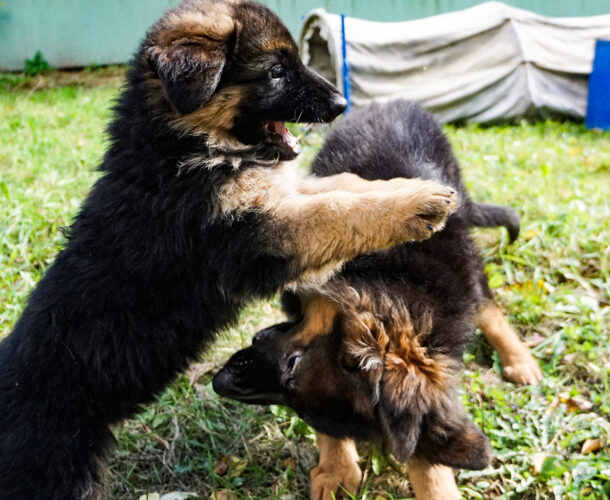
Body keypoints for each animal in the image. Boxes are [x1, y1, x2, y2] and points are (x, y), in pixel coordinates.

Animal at [0, 1, 456, 498]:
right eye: (276, 72)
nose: (341, 106)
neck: (180, 146)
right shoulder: (252, 239)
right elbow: (334, 210)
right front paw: (415, 206)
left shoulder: (275, 197)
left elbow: (338, 185)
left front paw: (408, 186)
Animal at [214, 99, 540, 498]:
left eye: (293, 366)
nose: (219, 382)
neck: (400, 283)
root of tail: (391, 102)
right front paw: (336, 469)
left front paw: (435, 482)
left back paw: (519, 358)